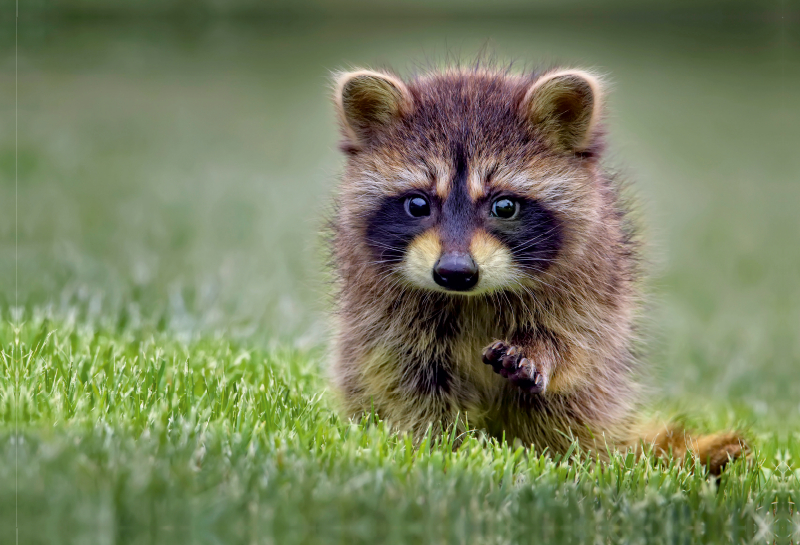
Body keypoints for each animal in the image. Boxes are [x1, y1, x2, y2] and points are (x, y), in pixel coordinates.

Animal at [324, 65, 744, 472]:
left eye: (504, 206)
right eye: (417, 204)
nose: (455, 272)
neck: (472, 297)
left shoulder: (591, 281)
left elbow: (576, 344)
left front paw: (541, 351)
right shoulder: (381, 310)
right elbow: (405, 378)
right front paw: (441, 444)